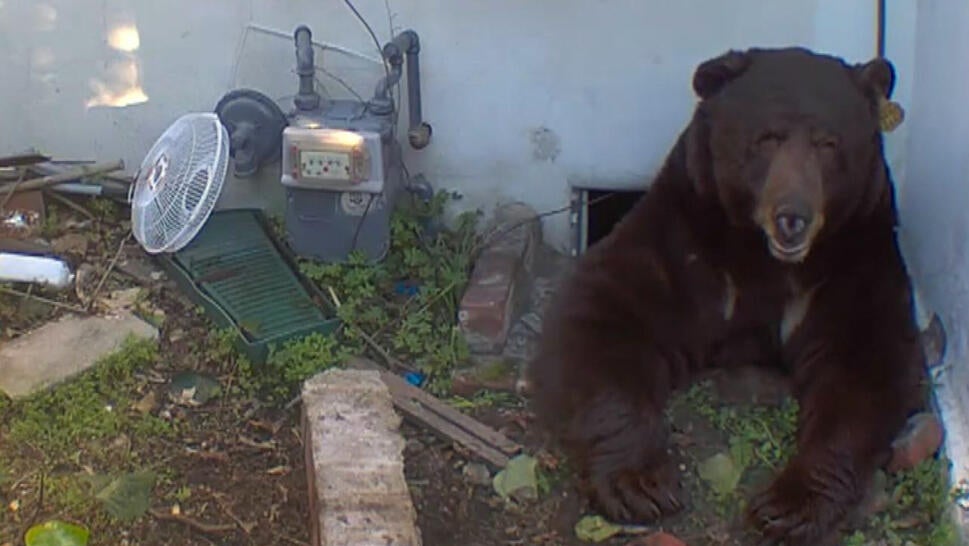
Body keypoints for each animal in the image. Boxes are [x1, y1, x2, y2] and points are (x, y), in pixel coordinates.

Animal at [525, 47, 928, 546]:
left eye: (829, 144)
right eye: (767, 138)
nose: (792, 217)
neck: (765, 258)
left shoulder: (853, 261)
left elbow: (867, 365)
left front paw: (786, 506)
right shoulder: (685, 240)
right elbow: (603, 312)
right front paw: (641, 483)